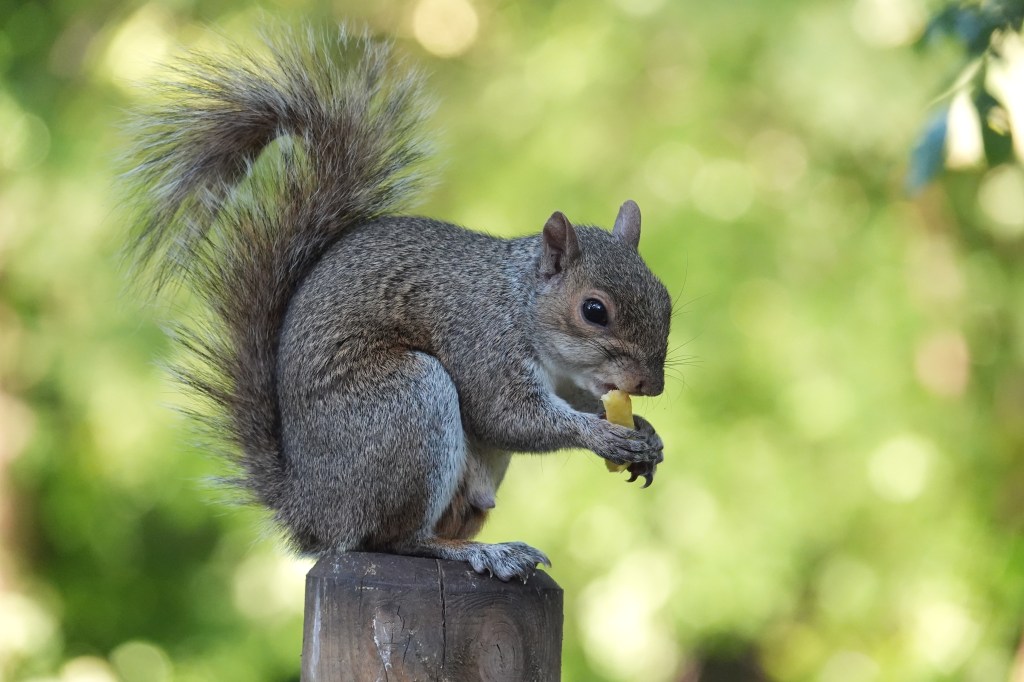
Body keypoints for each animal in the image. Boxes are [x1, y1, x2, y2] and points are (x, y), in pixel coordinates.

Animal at [123, 25, 671, 582]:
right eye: (594, 310)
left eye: (666, 299)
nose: (652, 386)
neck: (519, 302)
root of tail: (313, 512)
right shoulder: (480, 340)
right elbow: (508, 417)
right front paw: (605, 436)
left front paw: (645, 435)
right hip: (406, 406)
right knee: (396, 540)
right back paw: (481, 552)